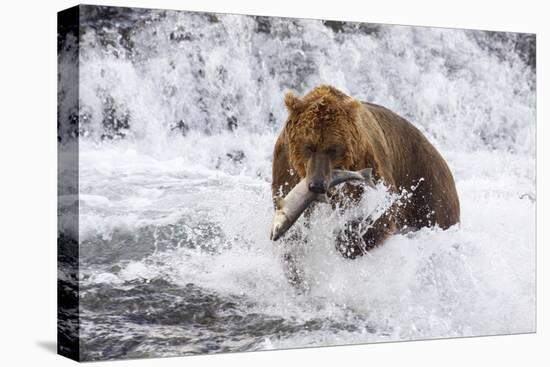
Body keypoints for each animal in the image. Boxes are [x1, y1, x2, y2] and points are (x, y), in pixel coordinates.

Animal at [272, 85, 462, 260]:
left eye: (332, 149)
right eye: (309, 146)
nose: (317, 185)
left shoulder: (367, 162)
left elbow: (381, 216)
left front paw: (347, 241)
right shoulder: (285, 168)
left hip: (427, 188)